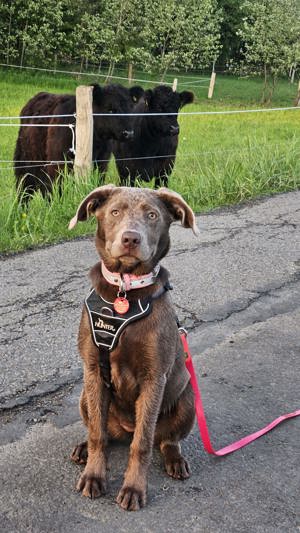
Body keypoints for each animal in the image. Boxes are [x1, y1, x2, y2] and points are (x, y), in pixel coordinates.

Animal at [14, 83, 144, 200]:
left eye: (130, 108)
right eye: (110, 109)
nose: (129, 133)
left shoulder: (101, 163)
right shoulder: (58, 164)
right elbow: (57, 189)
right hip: (25, 162)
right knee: (25, 190)